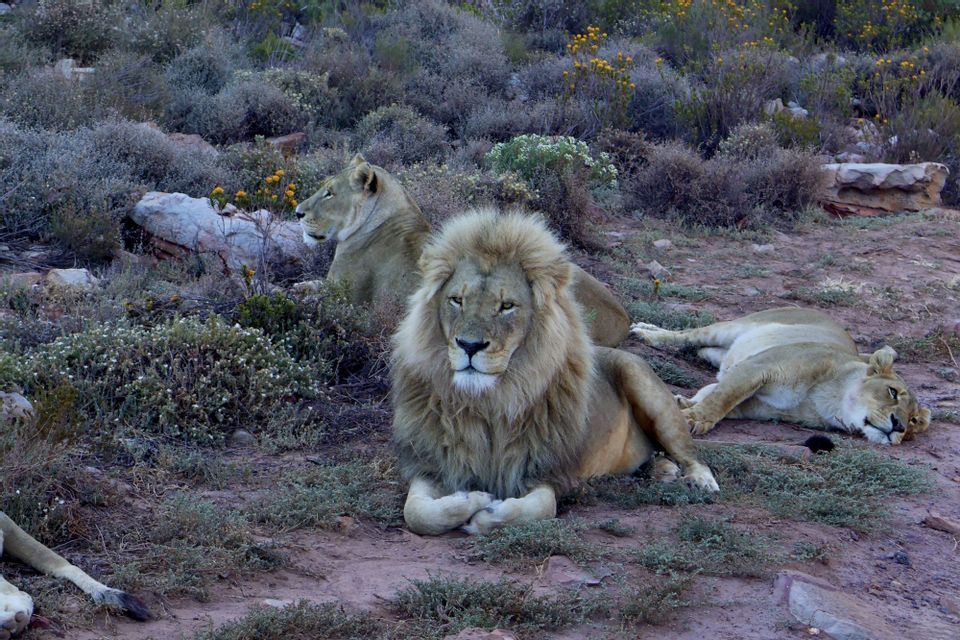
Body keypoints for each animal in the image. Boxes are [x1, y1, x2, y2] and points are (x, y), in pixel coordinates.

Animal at [295, 154, 631, 347]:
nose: (297, 212)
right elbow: (307, 283)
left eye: (329, 193)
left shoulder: (346, 296)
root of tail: (623, 319)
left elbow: (311, 293)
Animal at [390, 209, 718, 536]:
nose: (469, 346)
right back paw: (661, 469)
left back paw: (700, 480)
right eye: (456, 300)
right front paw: (471, 498)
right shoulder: (433, 465)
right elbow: (418, 513)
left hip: (648, 392)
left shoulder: (543, 472)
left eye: (506, 306)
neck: (491, 401)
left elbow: (537, 508)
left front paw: (487, 511)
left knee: (689, 452)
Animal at [631, 307, 931, 445]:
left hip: (723, 352)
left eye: (914, 421)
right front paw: (693, 418)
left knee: (707, 353)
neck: (828, 402)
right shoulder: (759, 366)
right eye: (893, 392)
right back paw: (644, 332)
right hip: (733, 327)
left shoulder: (754, 403)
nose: (899, 426)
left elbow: (720, 397)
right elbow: (723, 397)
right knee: (687, 335)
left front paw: (685, 404)